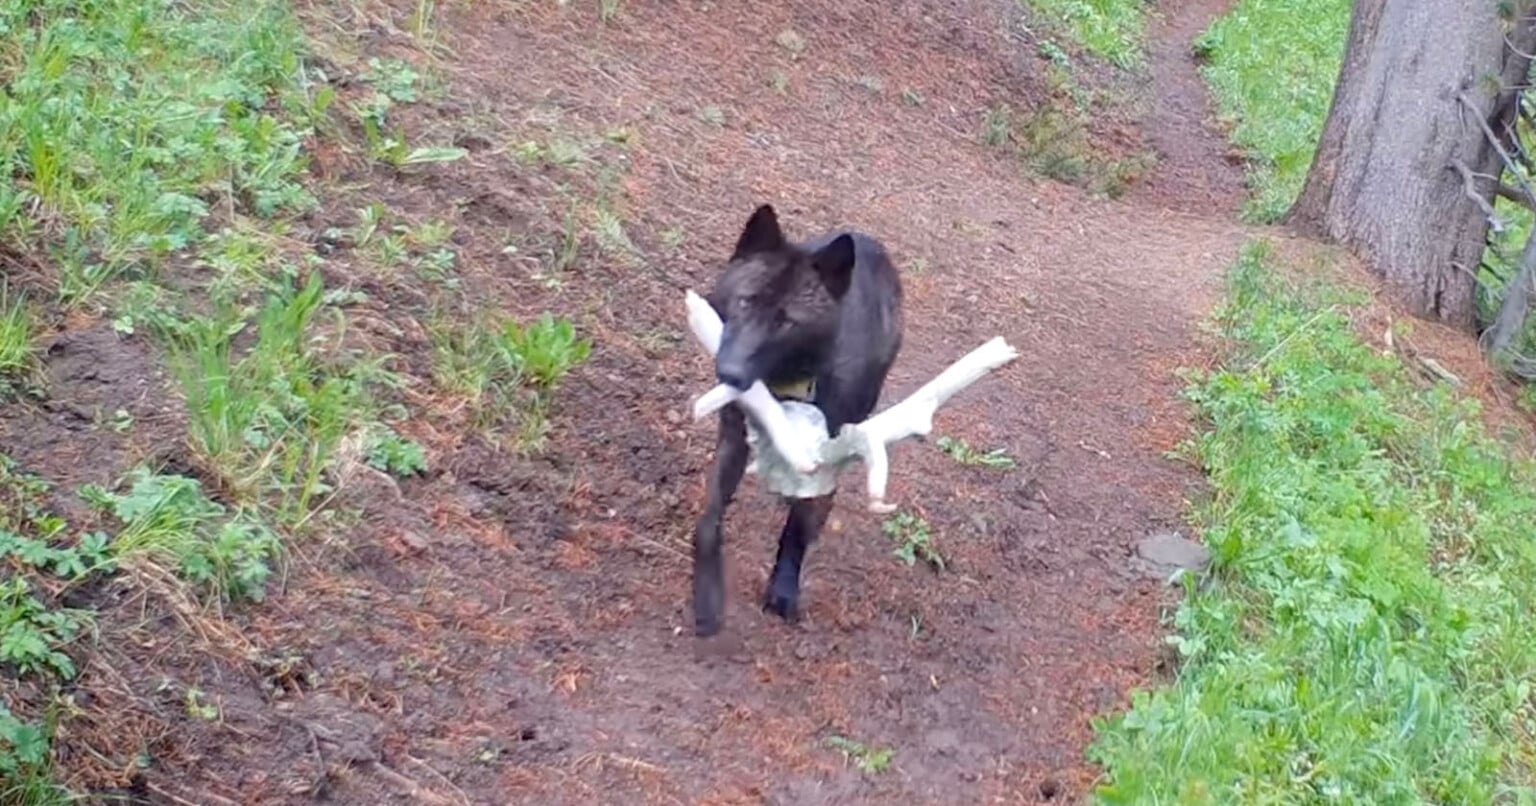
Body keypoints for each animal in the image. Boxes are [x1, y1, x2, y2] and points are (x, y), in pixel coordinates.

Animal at [692, 204, 904, 637]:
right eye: (745, 302)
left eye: (787, 322)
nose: (730, 373)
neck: (783, 387)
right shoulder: (732, 440)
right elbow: (710, 518)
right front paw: (706, 595)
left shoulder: (824, 461)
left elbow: (797, 531)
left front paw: (784, 589)